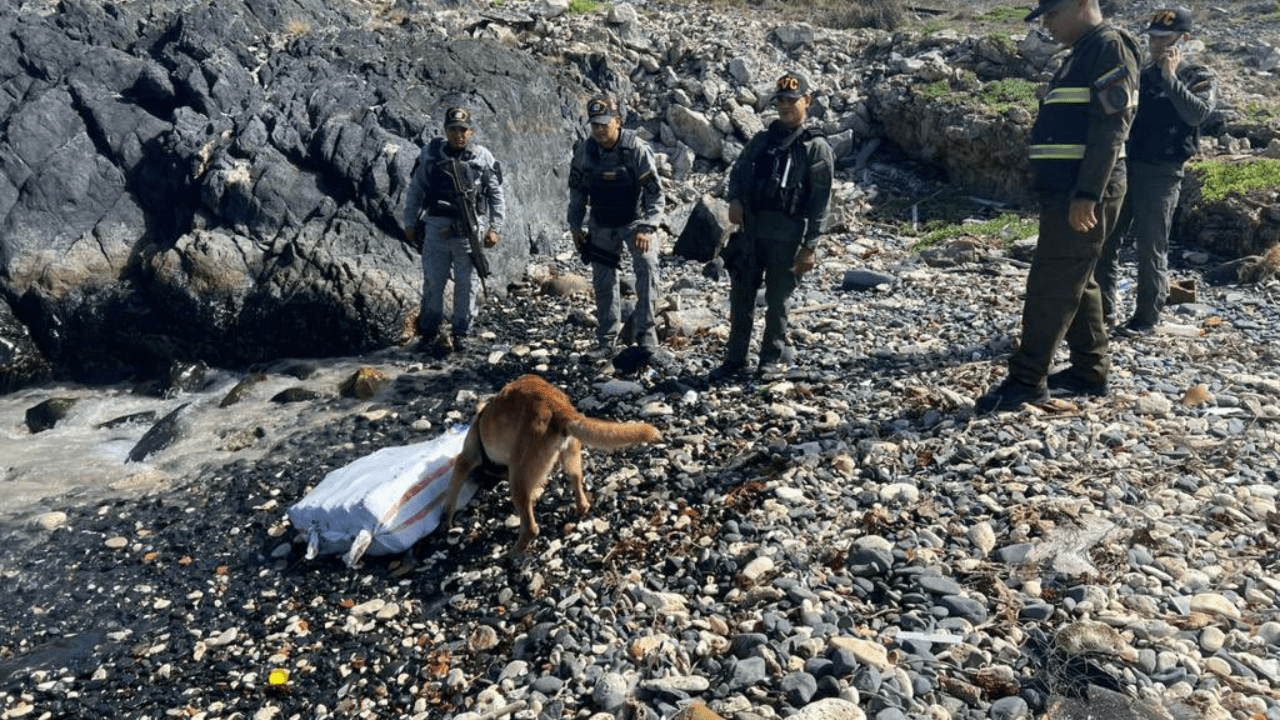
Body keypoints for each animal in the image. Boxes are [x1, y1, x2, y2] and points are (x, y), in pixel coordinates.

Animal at [440, 371, 660, 550]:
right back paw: (580, 506)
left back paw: (512, 554)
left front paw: (446, 520)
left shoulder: (465, 459)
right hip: (570, 457)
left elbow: (451, 492)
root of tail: (556, 407)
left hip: (518, 477)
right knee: (577, 484)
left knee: (530, 527)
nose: (484, 483)